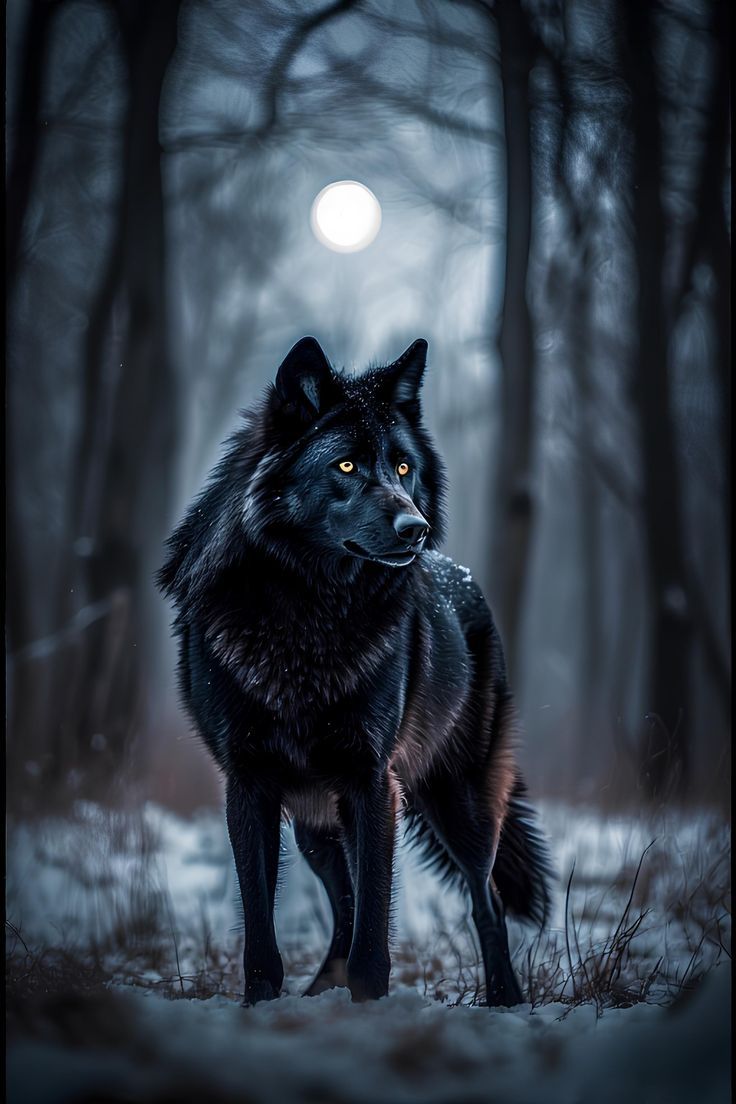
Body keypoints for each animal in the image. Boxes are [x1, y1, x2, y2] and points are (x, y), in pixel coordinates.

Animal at [157, 336, 552, 1007]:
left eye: (403, 469)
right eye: (345, 467)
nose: (415, 528)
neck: (307, 616)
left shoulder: (372, 782)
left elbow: (374, 926)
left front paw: (369, 1005)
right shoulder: (249, 784)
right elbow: (262, 928)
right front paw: (262, 1004)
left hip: (459, 804)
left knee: (487, 899)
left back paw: (505, 997)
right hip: (318, 823)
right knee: (341, 899)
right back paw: (322, 989)